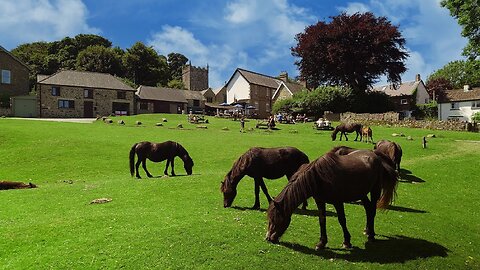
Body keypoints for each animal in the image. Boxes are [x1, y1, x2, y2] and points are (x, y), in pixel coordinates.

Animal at [266, 147, 398, 250]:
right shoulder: (320, 201)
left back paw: (371, 235)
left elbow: (342, 220)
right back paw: (367, 230)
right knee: (368, 209)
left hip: (375, 190)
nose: (268, 238)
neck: (319, 177)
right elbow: (322, 220)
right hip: (362, 193)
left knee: (373, 210)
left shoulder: (338, 202)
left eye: (276, 219)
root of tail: (375, 155)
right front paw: (321, 243)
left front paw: (346, 242)